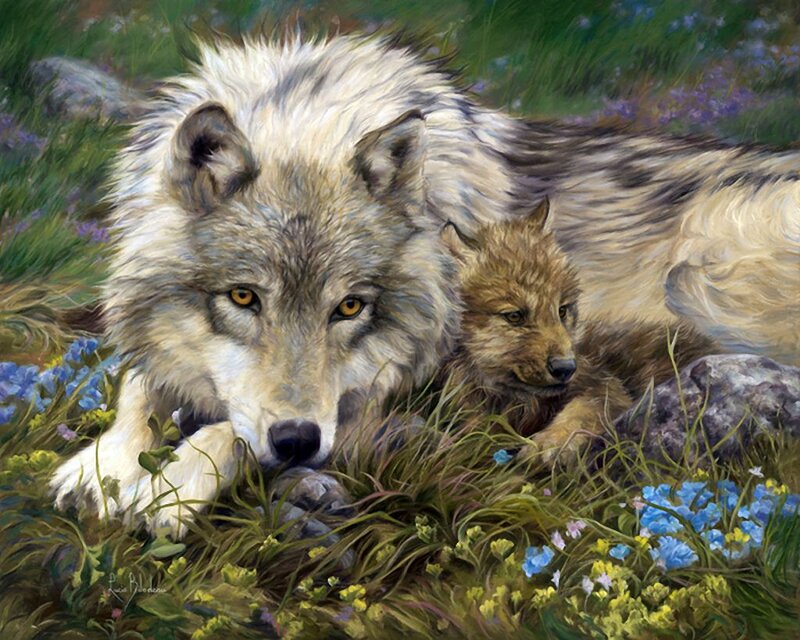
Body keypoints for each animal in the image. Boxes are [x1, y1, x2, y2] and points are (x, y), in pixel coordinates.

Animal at [440, 198, 718, 462]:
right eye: (515, 316)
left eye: (562, 310)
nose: (565, 368)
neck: (519, 402)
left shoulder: (604, 385)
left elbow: (580, 413)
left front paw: (550, 445)